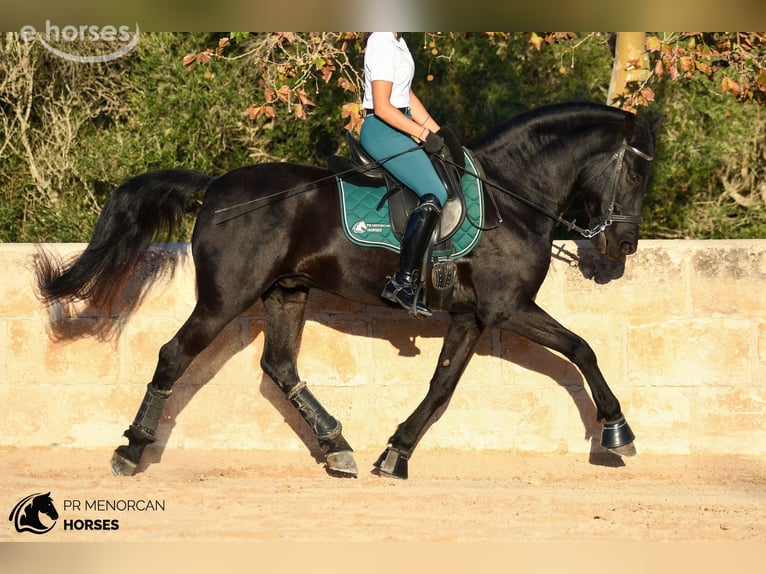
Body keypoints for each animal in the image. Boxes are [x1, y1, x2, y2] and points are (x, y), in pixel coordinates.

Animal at [34, 102, 658, 479]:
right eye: (635, 172)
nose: (625, 244)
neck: (511, 196)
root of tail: (216, 187)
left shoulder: (473, 316)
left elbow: (441, 387)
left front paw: (395, 453)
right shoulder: (508, 308)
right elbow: (582, 349)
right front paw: (616, 431)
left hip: (286, 292)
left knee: (279, 367)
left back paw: (337, 447)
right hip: (225, 298)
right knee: (174, 355)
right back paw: (131, 450)